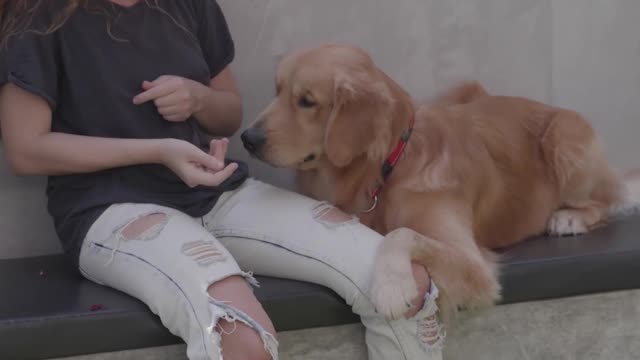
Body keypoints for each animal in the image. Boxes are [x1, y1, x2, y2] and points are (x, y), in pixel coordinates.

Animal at [241, 42, 640, 320]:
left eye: (306, 101)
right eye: (277, 91)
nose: (247, 138)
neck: (390, 166)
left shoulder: (473, 265)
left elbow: (402, 234)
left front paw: (391, 286)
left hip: (564, 136)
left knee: (609, 198)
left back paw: (569, 217)